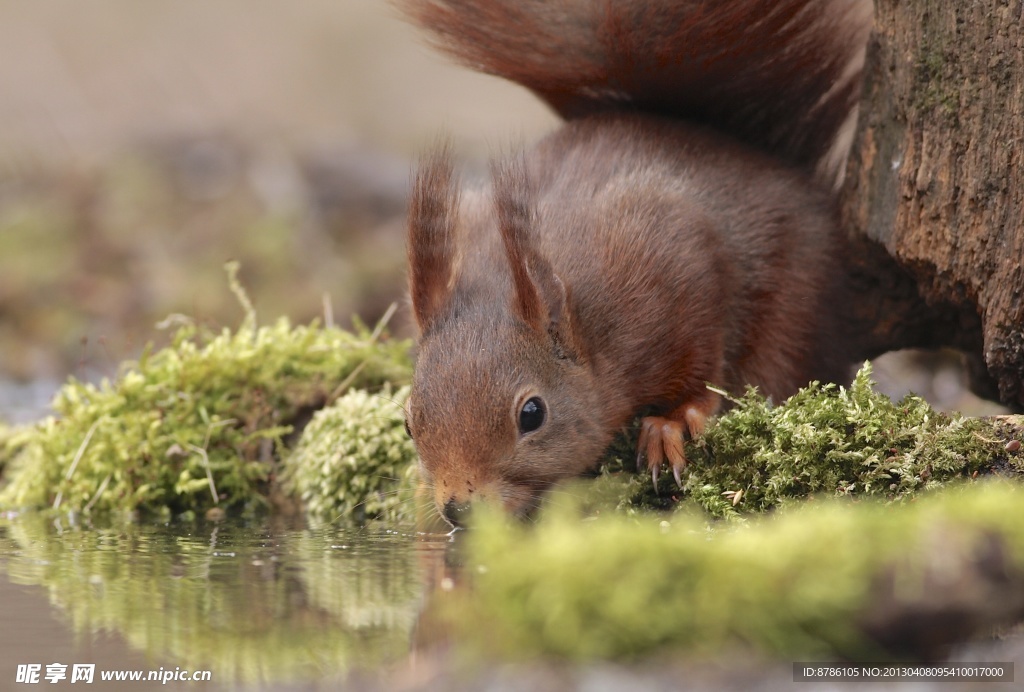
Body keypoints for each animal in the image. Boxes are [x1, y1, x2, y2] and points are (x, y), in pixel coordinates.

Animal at [399, 1, 872, 528]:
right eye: (409, 422)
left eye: (532, 414)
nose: (458, 509)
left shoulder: (675, 265)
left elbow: (701, 366)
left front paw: (672, 424)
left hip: (796, 314)